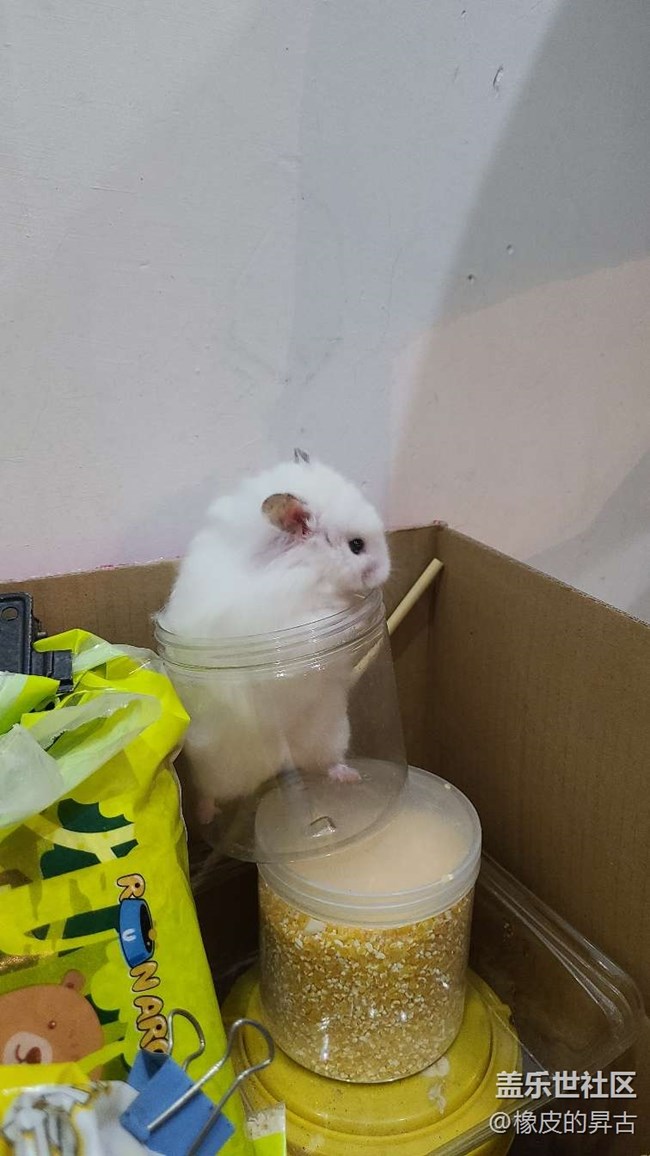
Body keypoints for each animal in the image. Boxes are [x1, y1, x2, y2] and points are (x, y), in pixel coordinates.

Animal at [158, 454, 390, 822]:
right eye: (357, 545)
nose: (385, 572)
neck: (309, 568)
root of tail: (276, 767)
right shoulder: (291, 619)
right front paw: (354, 608)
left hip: (328, 733)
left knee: (327, 764)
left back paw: (350, 776)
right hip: (219, 768)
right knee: (211, 792)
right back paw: (206, 814)